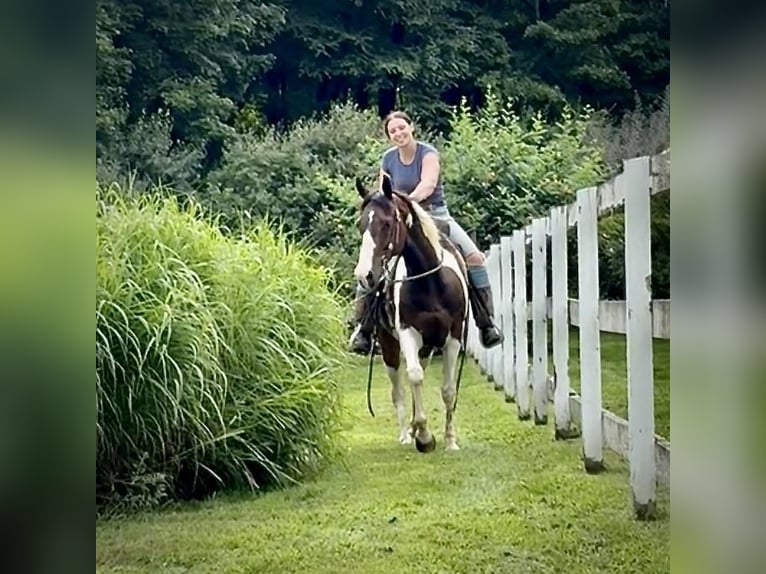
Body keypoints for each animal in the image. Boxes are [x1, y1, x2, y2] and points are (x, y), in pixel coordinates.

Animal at [352, 176, 468, 454]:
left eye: (386, 223)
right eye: (361, 225)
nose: (364, 275)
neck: (431, 284)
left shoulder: (453, 338)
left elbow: (448, 390)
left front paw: (450, 441)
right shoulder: (407, 333)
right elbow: (414, 377)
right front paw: (424, 438)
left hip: (427, 347)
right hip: (389, 345)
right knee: (399, 390)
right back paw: (407, 434)